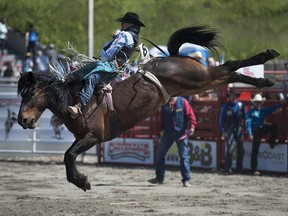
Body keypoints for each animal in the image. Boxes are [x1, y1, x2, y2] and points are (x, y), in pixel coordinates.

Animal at [16, 25, 278, 191]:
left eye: (30, 94)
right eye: (21, 94)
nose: (22, 121)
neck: (76, 99)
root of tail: (172, 57)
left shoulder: (94, 136)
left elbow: (69, 156)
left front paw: (83, 182)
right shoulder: (83, 138)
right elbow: (68, 156)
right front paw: (81, 181)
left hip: (199, 78)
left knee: (230, 65)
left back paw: (267, 57)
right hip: (200, 83)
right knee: (229, 72)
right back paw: (265, 80)